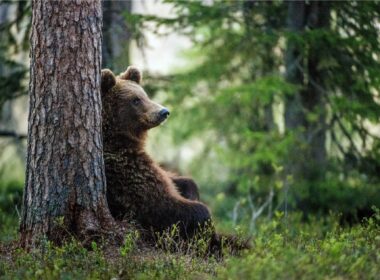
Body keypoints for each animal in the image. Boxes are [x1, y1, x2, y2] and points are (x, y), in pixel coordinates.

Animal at [101, 66, 211, 238]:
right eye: (135, 100)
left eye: (145, 95)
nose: (164, 112)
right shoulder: (127, 174)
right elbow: (161, 205)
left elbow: (176, 179)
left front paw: (191, 190)